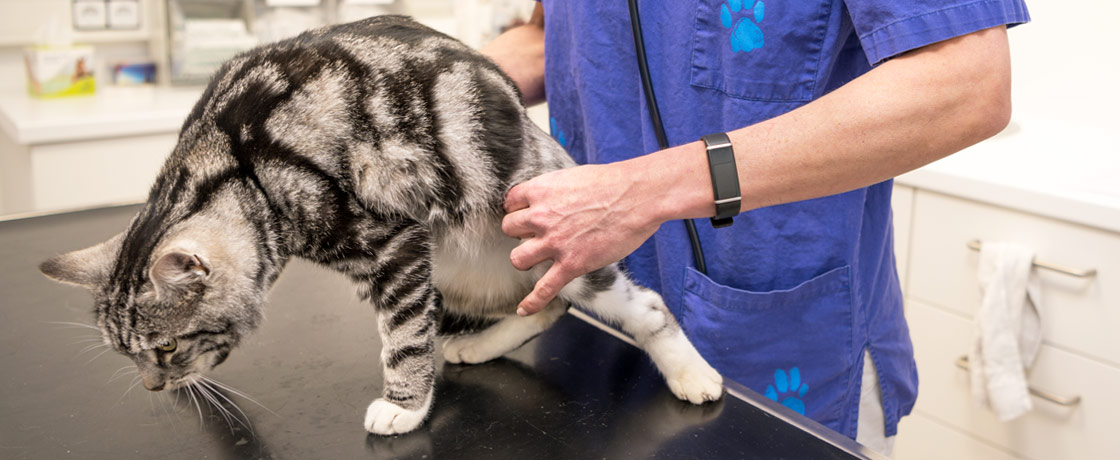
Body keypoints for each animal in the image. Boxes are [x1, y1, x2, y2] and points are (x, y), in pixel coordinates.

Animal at [39, 15, 721, 436]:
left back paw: (693, 375)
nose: (154, 387)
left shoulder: (393, 246)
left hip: (554, 248)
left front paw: (405, 406)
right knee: (543, 306)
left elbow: (405, 337)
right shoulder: (408, 259)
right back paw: (478, 345)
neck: (240, 167)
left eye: (164, 348)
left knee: (643, 307)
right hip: (460, 270)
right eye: (130, 356)